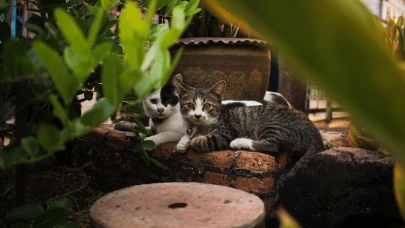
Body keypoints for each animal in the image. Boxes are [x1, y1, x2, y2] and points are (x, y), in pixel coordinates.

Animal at [172, 74, 324, 159]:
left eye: (207, 106)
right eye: (190, 105)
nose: (197, 115)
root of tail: (315, 133)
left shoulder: (226, 133)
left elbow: (204, 140)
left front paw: (193, 140)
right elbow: (188, 134)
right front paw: (183, 142)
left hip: (273, 125)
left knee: (273, 146)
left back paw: (239, 142)